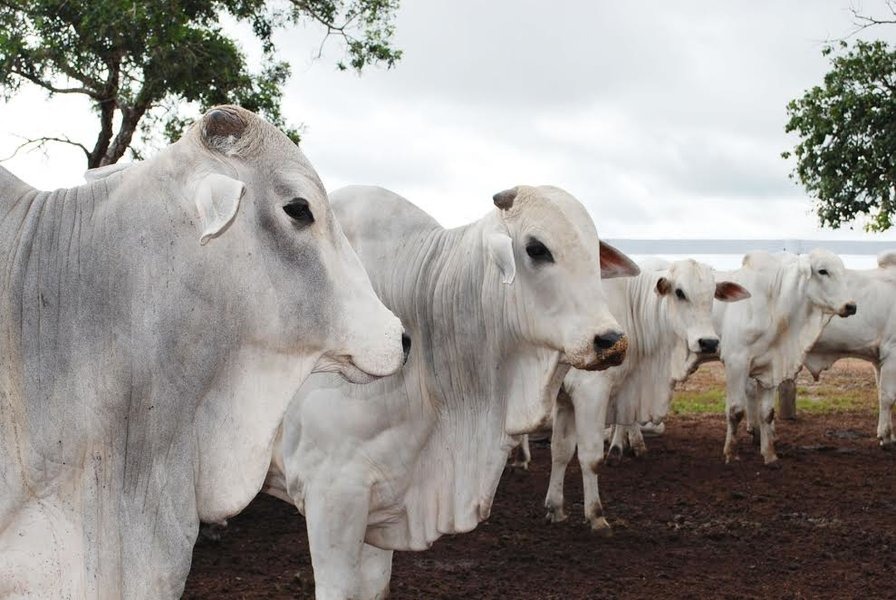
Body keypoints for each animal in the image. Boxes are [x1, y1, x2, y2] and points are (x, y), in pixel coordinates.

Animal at [712, 248, 856, 464]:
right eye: (822, 271)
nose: (851, 306)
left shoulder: (771, 367)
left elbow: (767, 413)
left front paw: (769, 455)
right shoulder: (735, 362)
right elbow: (735, 410)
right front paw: (730, 453)